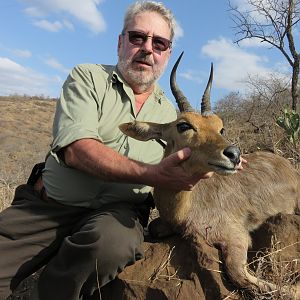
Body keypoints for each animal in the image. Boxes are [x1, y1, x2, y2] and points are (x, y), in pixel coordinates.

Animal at [119, 52, 300, 298]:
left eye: (220, 127)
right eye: (184, 125)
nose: (234, 154)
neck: (182, 210)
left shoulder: (237, 238)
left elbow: (241, 276)